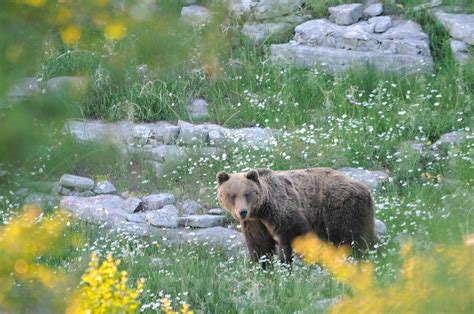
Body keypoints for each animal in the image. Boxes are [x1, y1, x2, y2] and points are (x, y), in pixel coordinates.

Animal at [217, 167, 376, 264]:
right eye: (232, 195)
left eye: (247, 193)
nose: (242, 212)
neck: (261, 211)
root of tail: (365, 189)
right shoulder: (255, 223)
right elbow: (259, 244)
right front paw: (262, 267)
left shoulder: (282, 211)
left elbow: (293, 235)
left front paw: (286, 263)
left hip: (340, 208)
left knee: (347, 237)